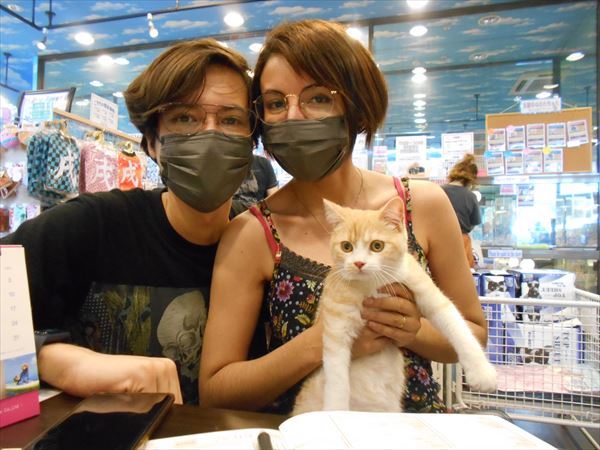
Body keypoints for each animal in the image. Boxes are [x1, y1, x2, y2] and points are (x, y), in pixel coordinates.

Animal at [292, 197, 497, 415]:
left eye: (377, 245)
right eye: (346, 247)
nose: (358, 263)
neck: (372, 285)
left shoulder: (426, 291)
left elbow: (457, 327)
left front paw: (482, 373)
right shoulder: (336, 326)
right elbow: (336, 375)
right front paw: (335, 410)